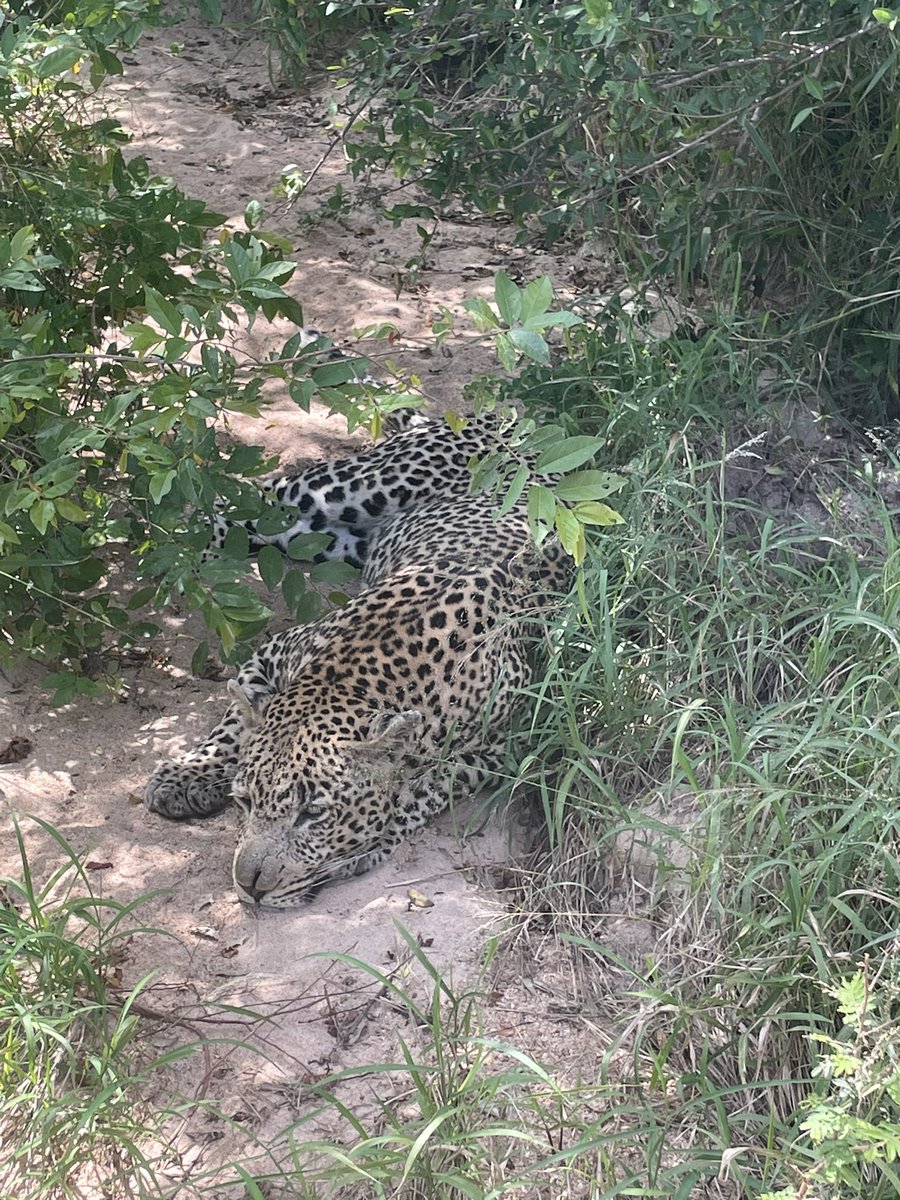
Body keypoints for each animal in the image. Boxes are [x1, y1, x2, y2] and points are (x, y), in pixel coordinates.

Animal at [146, 416, 569, 908]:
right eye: (247, 801)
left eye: (313, 813)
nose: (249, 885)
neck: (352, 674)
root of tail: (507, 418)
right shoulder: (274, 651)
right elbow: (232, 723)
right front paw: (187, 775)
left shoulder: (503, 747)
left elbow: (426, 789)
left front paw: (368, 842)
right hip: (349, 487)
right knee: (240, 497)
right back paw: (177, 547)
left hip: (330, 530)